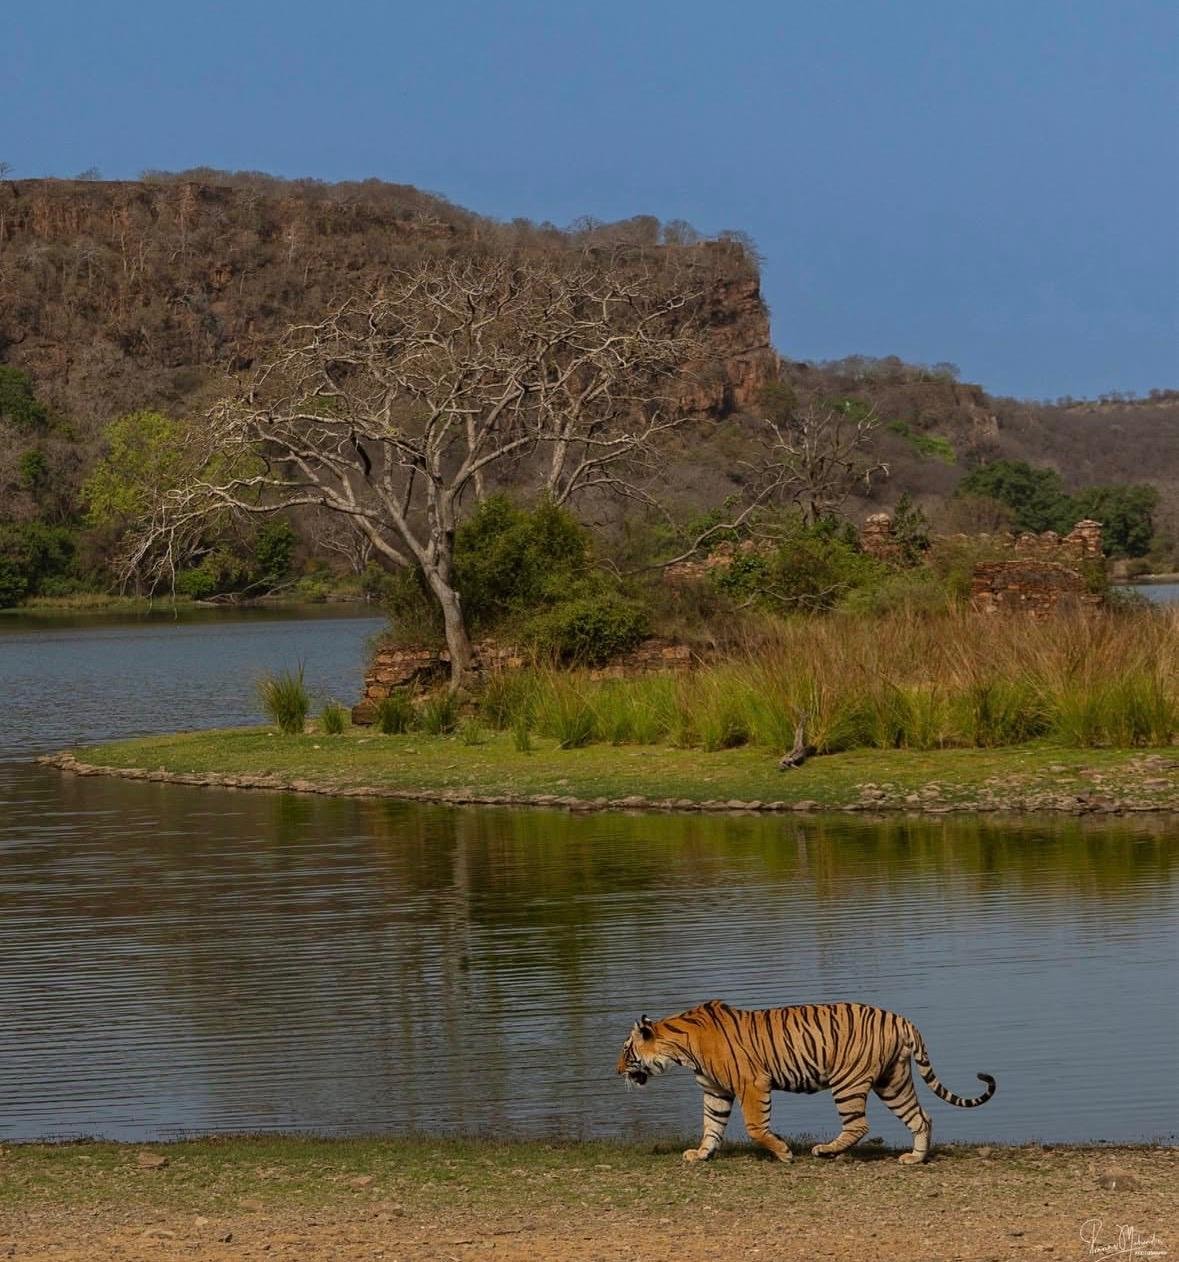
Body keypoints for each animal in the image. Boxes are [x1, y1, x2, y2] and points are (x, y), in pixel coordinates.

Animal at [616, 999, 995, 1165]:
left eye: (626, 1050)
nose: (617, 1070)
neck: (681, 1047)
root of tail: (902, 1020)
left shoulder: (752, 1083)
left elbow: (755, 1126)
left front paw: (783, 1152)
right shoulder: (716, 1091)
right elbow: (711, 1125)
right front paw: (701, 1154)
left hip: (848, 1082)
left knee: (859, 1125)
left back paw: (826, 1150)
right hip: (893, 1081)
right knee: (921, 1117)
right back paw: (915, 1159)